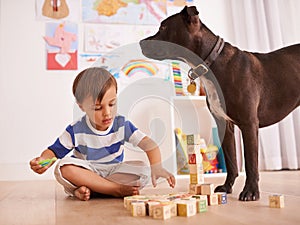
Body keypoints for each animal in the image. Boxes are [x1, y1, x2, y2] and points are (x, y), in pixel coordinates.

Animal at [141, 6, 300, 200]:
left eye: (163, 27)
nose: (140, 42)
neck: (211, 63)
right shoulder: (225, 124)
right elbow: (231, 161)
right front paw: (226, 187)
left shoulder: (249, 124)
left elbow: (251, 162)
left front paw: (250, 191)